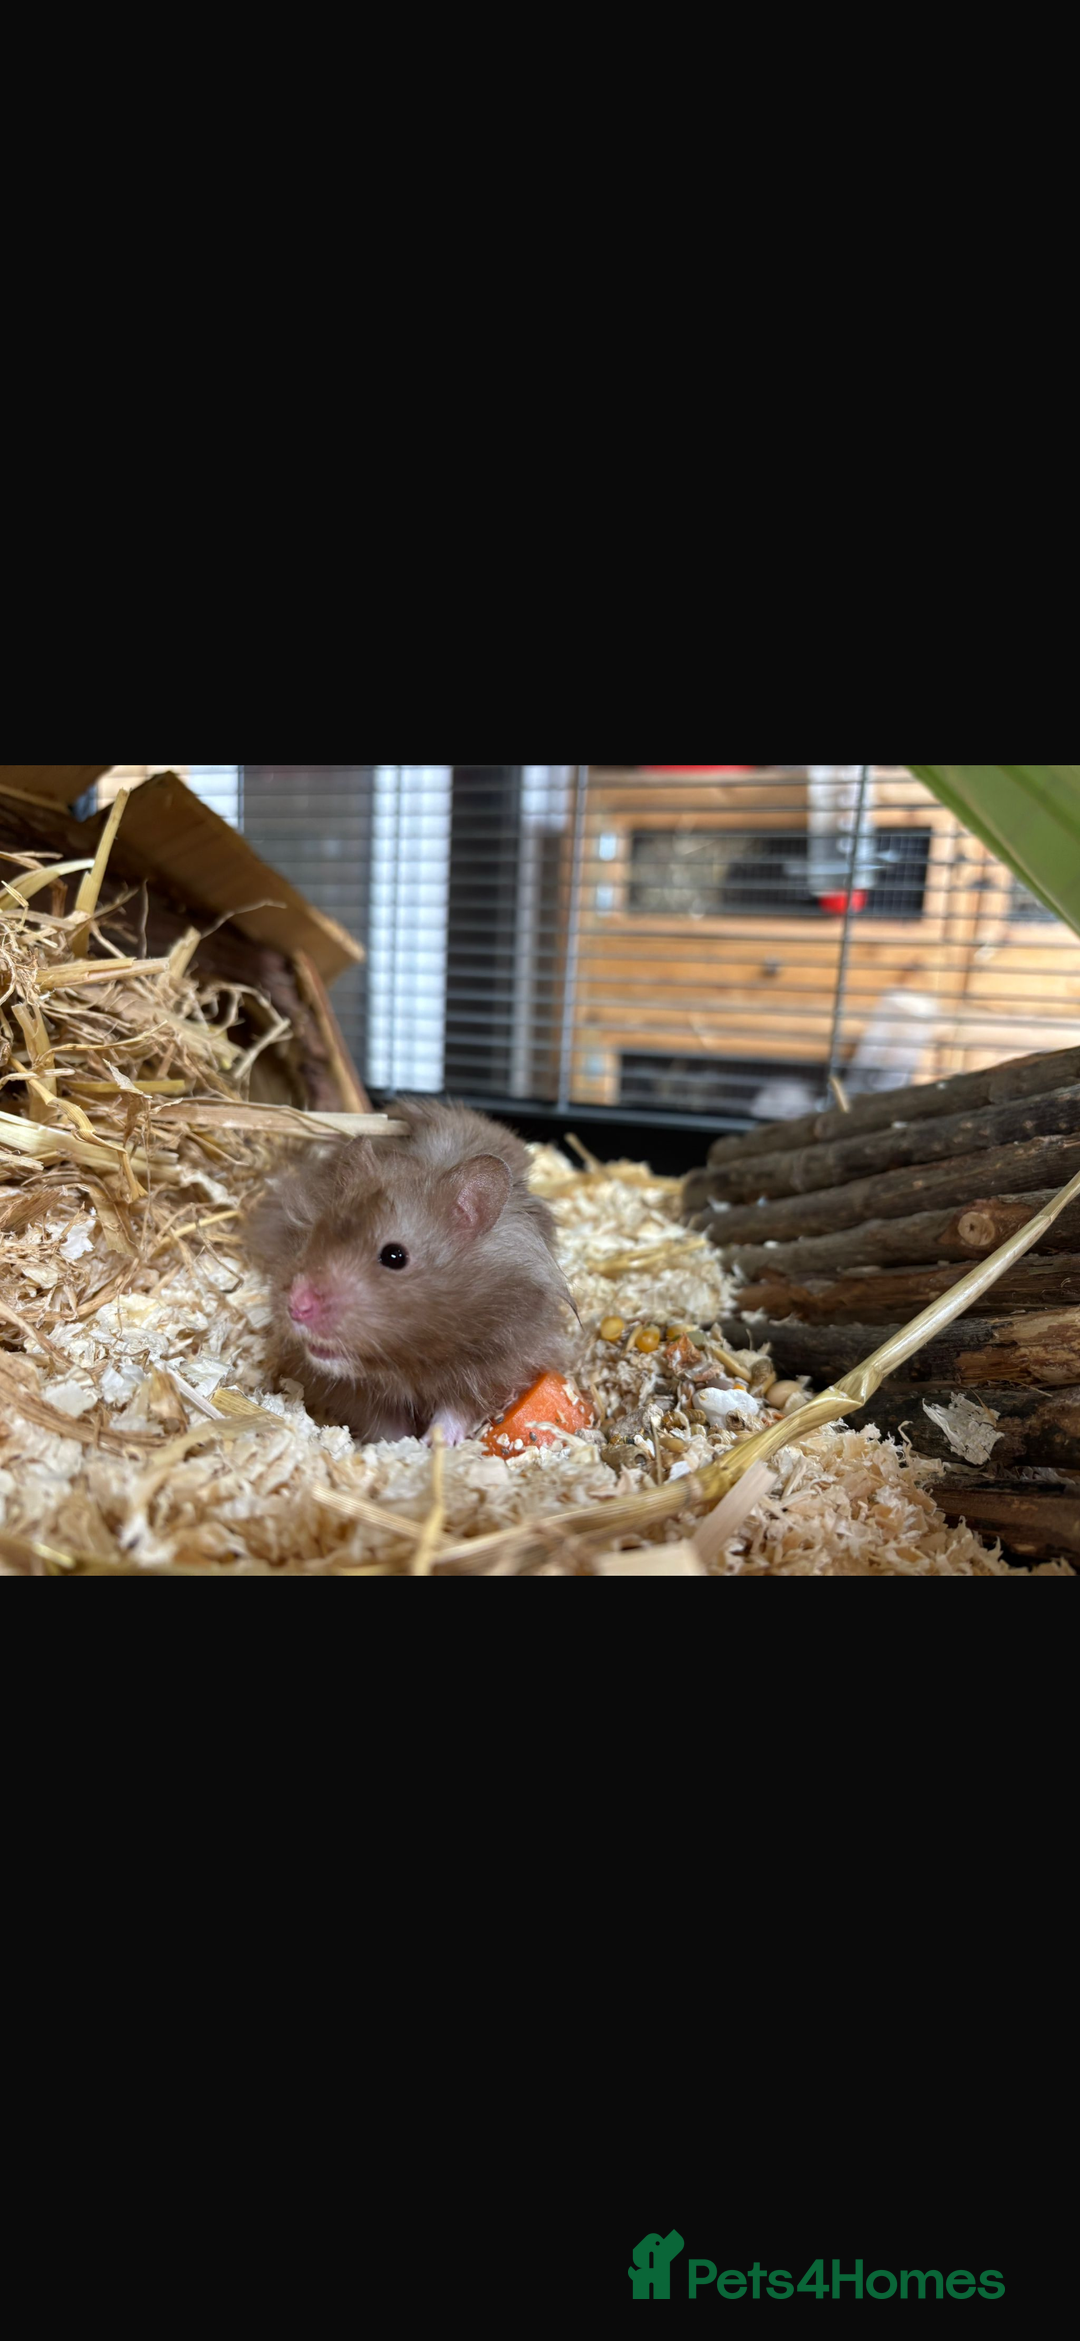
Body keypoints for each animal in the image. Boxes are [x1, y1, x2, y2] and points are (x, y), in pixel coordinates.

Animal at [243, 1096, 576, 1445]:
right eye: (313, 1236)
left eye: (394, 1256)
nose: (296, 1307)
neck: (406, 1362)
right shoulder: (346, 1387)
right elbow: (380, 1418)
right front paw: (398, 1445)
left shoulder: (500, 1363)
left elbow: (457, 1409)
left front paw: (434, 1443)